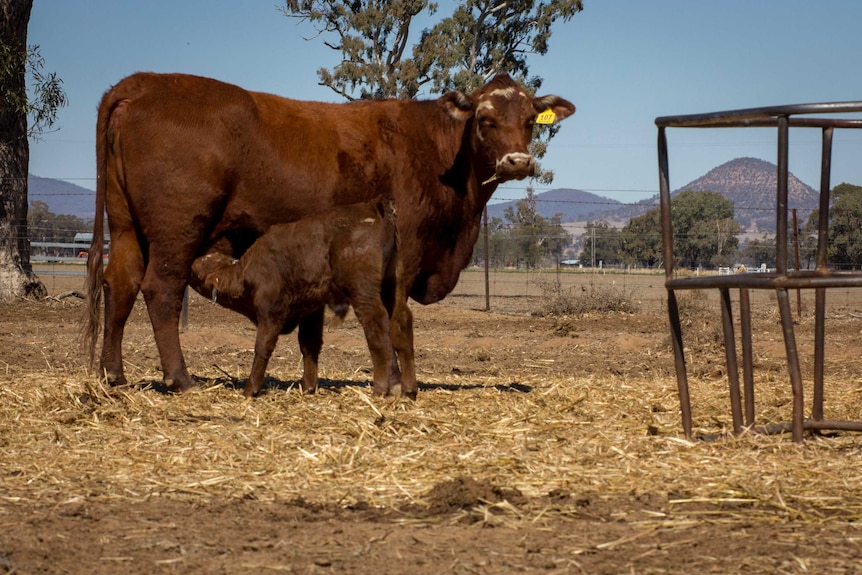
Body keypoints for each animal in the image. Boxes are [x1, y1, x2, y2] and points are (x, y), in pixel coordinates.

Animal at [191, 196, 404, 398]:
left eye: (196, 272)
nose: (191, 263)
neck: (247, 272)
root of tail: (373, 207)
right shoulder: (312, 310)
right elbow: (309, 344)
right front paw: (308, 386)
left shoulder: (271, 310)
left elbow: (263, 347)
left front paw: (250, 390)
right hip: (389, 288)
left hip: (363, 293)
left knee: (376, 329)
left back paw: (381, 388)